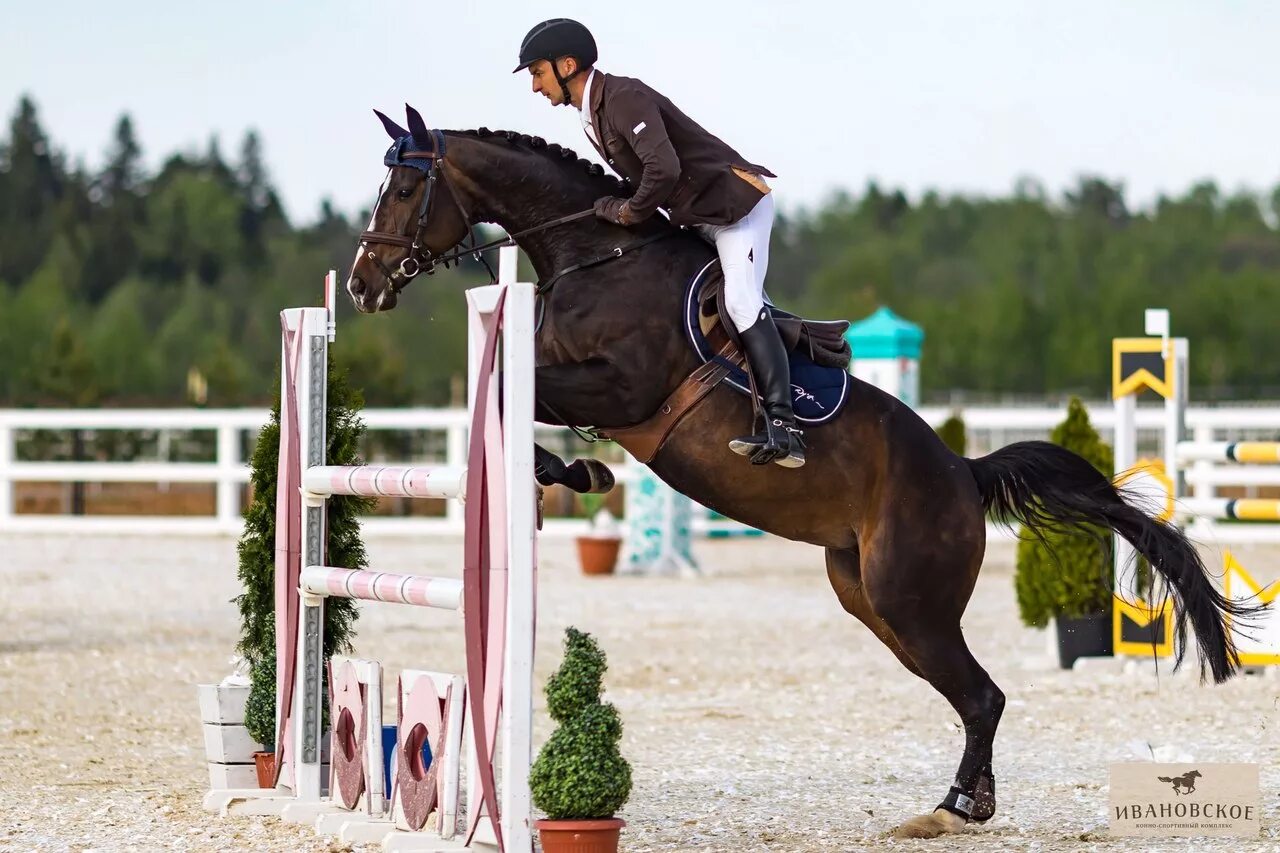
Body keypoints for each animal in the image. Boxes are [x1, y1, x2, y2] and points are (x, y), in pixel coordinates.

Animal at [343, 106, 1249, 835]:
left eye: (404, 190)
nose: (361, 284)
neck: (596, 254)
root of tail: (962, 468)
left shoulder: (623, 387)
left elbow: (515, 392)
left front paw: (579, 472)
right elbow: (507, 397)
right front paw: (574, 472)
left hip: (908, 598)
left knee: (983, 695)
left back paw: (954, 805)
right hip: (871, 600)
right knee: (970, 695)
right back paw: (968, 803)